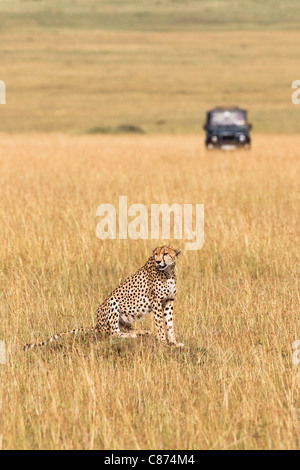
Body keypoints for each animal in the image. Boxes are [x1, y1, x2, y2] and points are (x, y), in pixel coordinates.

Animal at [22, 246, 183, 348]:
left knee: (122, 329)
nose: (158, 261)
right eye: (156, 254)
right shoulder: (156, 302)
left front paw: (174, 342)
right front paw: (163, 341)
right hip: (112, 302)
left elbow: (170, 324)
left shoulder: (169, 301)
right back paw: (133, 336)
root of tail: (97, 325)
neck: (168, 271)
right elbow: (160, 324)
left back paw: (142, 332)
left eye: (165, 253)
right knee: (113, 334)